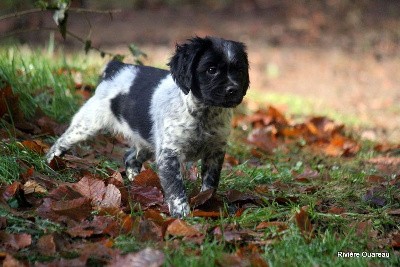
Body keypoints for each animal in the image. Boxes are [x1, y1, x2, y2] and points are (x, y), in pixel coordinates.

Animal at [45, 36, 248, 219]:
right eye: (211, 70)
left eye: (239, 71)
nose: (233, 90)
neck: (203, 113)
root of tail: (116, 68)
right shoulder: (169, 154)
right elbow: (176, 189)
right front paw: (182, 215)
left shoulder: (215, 151)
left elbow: (210, 183)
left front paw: (209, 205)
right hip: (88, 123)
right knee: (61, 142)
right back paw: (50, 164)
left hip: (148, 142)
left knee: (129, 157)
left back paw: (136, 182)